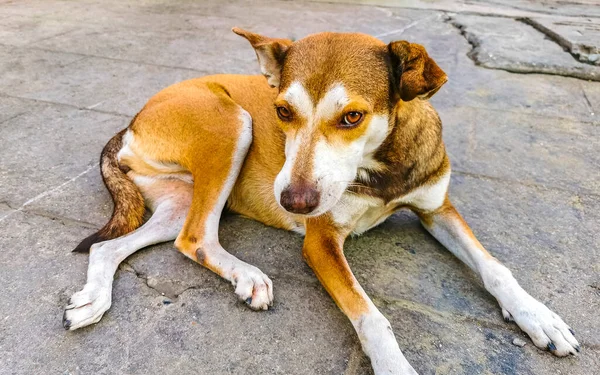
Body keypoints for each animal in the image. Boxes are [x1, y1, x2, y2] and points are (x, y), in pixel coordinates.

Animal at [63, 27, 580, 374]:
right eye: (282, 111)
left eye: (352, 116)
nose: (293, 202)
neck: (380, 167)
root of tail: (134, 118)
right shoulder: (321, 241)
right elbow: (371, 317)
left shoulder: (437, 209)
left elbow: (495, 267)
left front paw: (540, 317)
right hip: (231, 124)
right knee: (196, 238)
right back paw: (247, 276)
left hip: (176, 198)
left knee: (116, 245)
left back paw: (93, 299)